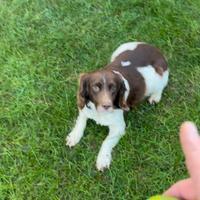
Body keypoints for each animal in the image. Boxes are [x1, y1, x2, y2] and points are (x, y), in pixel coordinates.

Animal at [66, 41, 169, 171]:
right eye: (95, 87)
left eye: (113, 88)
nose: (106, 106)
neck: (99, 113)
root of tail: (154, 48)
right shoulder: (85, 109)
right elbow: (80, 122)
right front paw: (74, 136)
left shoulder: (119, 127)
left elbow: (106, 141)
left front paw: (103, 159)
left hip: (154, 77)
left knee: (161, 85)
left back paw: (155, 97)